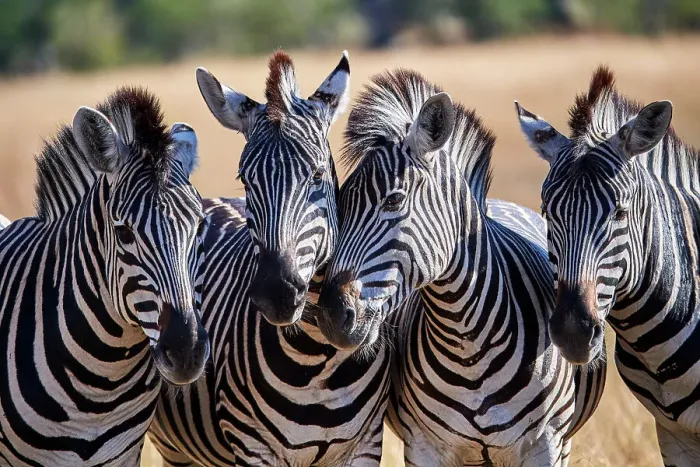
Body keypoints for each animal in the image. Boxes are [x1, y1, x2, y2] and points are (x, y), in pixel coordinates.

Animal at [148, 50, 391, 466]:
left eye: (317, 176)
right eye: (246, 181)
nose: (276, 295)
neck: (317, 359)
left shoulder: (366, 445)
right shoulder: (253, 447)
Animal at [316, 69, 606, 466]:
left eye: (393, 200)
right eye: (341, 204)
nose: (331, 314)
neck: (468, 340)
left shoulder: (546, 445)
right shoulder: (423, 445)